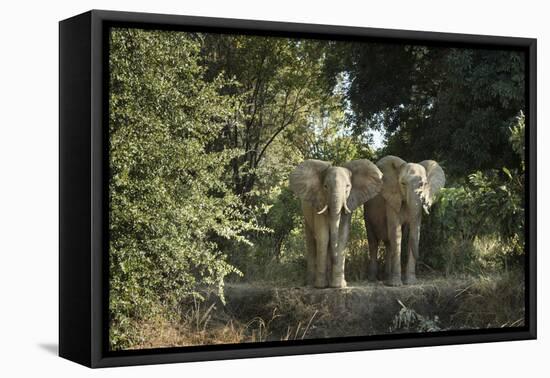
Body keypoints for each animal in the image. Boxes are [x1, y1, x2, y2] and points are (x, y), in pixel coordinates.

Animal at [294, 158, 384, 288]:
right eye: (325, 186)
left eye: (348, 186)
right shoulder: (319, 202)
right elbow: (323, 237)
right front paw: (321, 286)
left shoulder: (349, 201)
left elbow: (342, 235)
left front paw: (338, 286)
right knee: (311, 240)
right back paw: (311, 283)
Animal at [364, 155, 446, 284]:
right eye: (403, 183)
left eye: (424, 184)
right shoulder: (391, 200)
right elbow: (396, 233)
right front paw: (396, 284)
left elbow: (414, 231)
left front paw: (411, 282)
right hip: (367, 212)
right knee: (373, 242)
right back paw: (372, 279)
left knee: (388, 243)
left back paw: (387, 277)